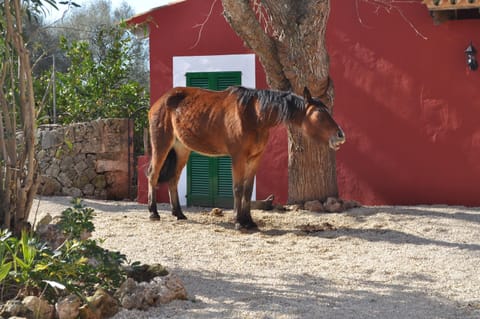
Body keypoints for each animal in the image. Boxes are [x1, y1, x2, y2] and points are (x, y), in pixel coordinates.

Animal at [147, 85, 344, 230]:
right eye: (320, 114)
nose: (340, 135)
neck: (254, 115)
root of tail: (160, 101)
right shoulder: (238, 157)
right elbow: (238, 188)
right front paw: (238, 221)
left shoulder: (255, 158)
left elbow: (248, 190)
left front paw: (248, 221)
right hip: (161, 145)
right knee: (153, 175)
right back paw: (153, 213)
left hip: (182, 148)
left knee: (173, 179)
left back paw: (179, 214)